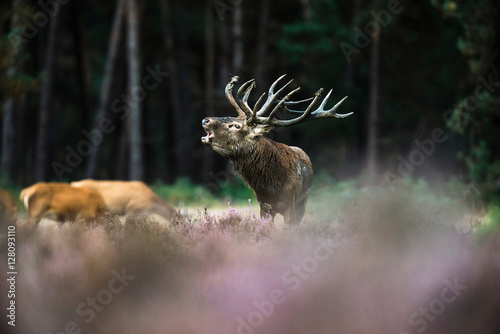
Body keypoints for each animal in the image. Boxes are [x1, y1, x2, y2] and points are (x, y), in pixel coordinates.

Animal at [202, 74, 352, 223]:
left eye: (237, 126)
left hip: (303, 201)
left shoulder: (291, 205)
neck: (271, 187)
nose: (205, 120)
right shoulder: (264, 205)